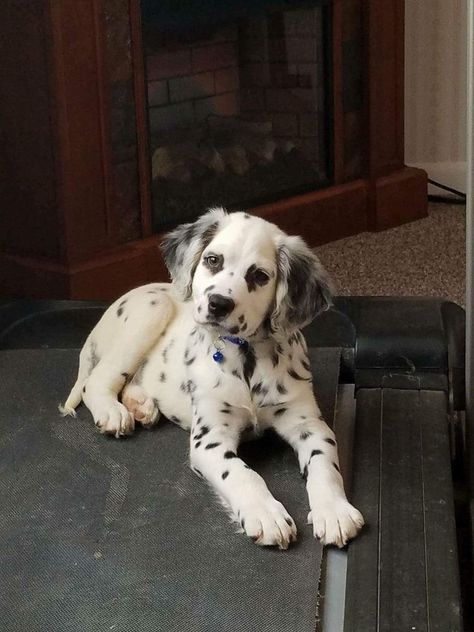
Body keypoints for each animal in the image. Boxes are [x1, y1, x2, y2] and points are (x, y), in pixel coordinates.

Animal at [62, 207, 362, 548]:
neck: (247, 357)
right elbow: (242, 473)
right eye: (213, 260)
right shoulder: (210, 438)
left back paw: (142, 406)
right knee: (96, 381)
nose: (218, 304)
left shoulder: (307, 422)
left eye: (260, 276)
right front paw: (266, 514)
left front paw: (334, 510)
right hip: (151, 311)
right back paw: (114, 412)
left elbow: (325, 464)